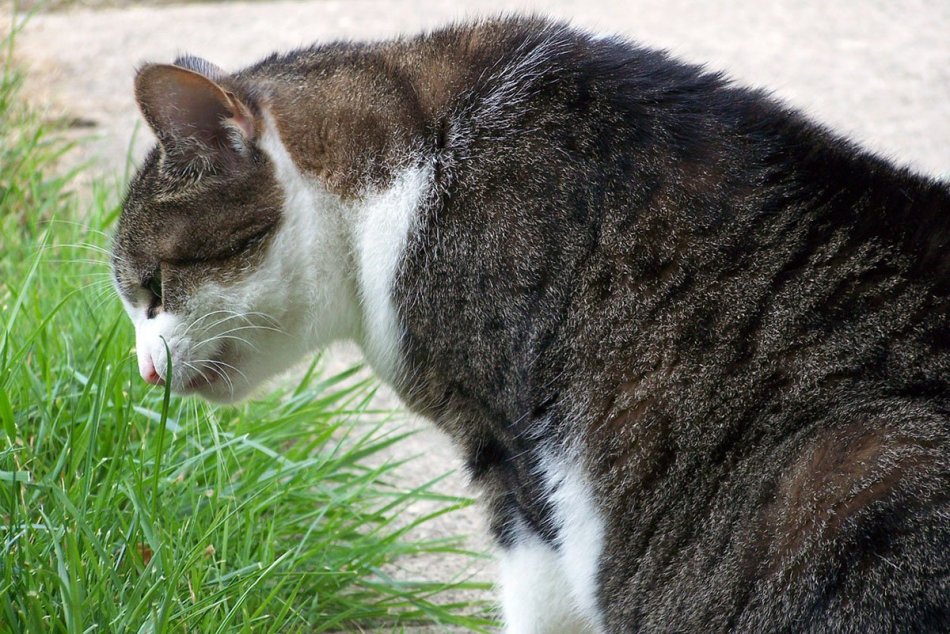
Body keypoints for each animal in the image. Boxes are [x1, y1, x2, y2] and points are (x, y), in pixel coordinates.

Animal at [113, 16, 950, 632]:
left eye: (152, 289)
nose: (144, 371)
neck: (412, 170)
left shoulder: (516, 462)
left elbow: (537, 601)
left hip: (848, 470)